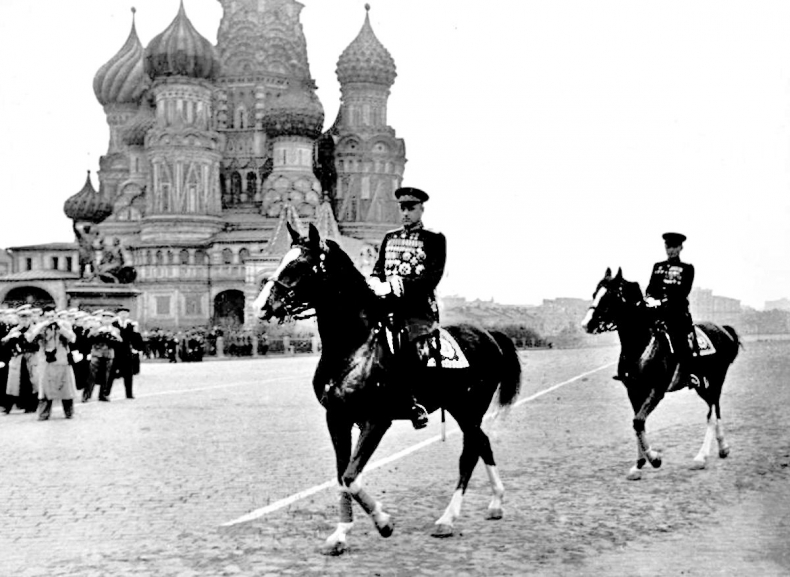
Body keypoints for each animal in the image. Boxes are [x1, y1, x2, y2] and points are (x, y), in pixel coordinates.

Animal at [255, 223, 524, 552]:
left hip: (469, 408)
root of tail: (488, 335)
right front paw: (340, 534)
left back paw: (448, 519)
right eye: (283, 258)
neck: (352, 346)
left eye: (301, 265)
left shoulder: (376, 420)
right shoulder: (337, 419)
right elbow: (342, 474)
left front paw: (383, 522)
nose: (262, 305)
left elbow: (352, 476)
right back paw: (496, 502)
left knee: (469, 453)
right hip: (461, 409)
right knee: (482, 443)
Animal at [580, 268, 744, 480]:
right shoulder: (633, 391)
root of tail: (724, 330)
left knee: (712, 413)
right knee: (715, 409)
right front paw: (638, 465)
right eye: (594, 294)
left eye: (609, 296)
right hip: (702, 385)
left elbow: (638, 421)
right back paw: (722, 448)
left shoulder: (656, 391)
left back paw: (702, 456)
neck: (641, 344)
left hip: (714, 381)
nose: (586, 324)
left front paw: (654, 458)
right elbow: (637, 424)